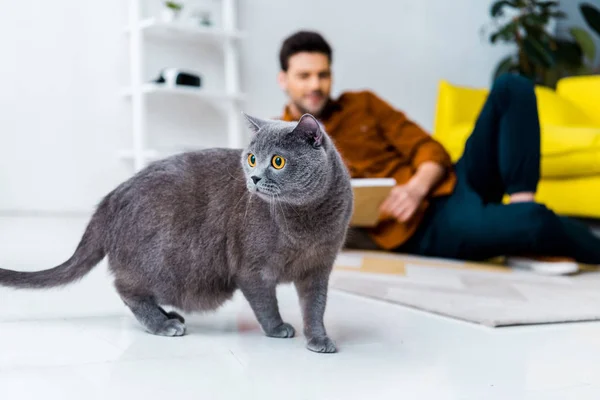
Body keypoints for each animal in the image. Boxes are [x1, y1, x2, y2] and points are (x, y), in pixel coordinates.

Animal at [0, 113, 354, 354]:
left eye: (278, 161)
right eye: (252, 158)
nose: (252, 178)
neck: (305, 222)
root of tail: (112, 196)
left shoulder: (319, 269)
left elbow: (315, 307)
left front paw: (319, 339)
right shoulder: (251, 268)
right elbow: (265, 302)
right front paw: (278, 328)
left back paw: (168, 315)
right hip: (169, 263)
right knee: (126, 288)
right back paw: (164, 324)